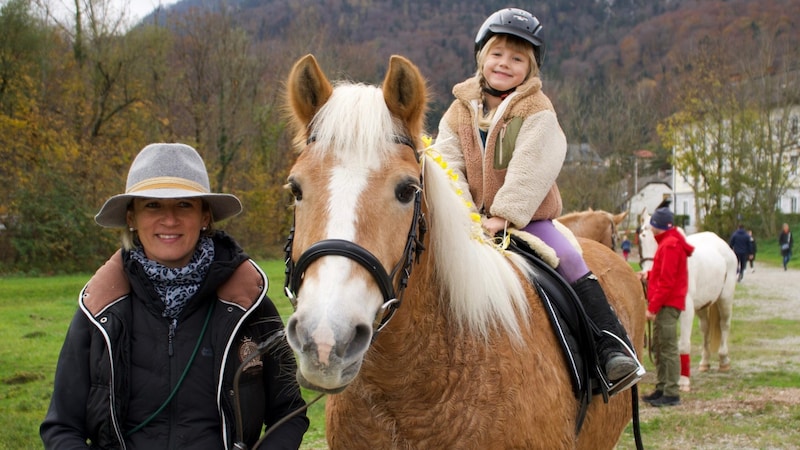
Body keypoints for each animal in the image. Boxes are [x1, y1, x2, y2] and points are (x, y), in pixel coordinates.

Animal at [636, 210, 736, 390]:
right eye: (642, 237)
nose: (649, 276)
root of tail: (722, 245)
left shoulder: (687, 310)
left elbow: (683, 344)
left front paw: (683, 381)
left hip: (725, 299)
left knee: (724, 325)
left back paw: (724, 361)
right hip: (702, 306)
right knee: (705, 329)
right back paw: (704, 362)